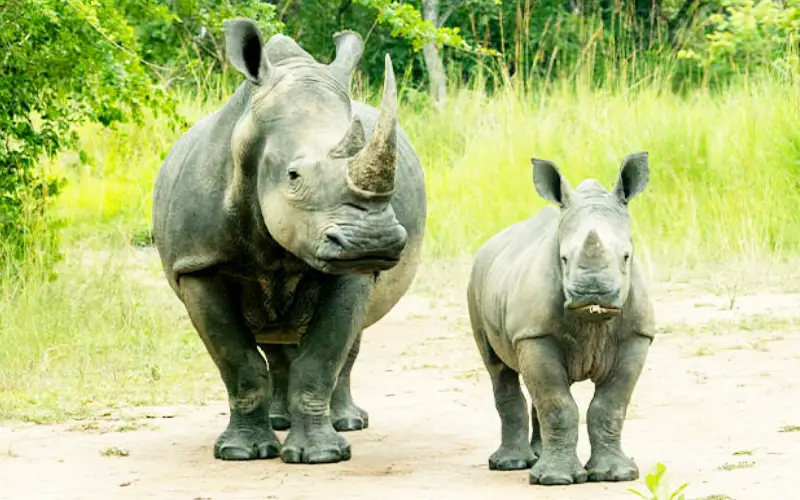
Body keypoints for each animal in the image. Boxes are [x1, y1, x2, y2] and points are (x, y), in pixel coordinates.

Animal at [151, 18, 426, 464]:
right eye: (293, 176)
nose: (372, 240)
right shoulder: (197, 265)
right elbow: (238, 362)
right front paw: (241, 452)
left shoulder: (352, 271)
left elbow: (322, 358)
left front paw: (322, 455)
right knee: (275, 340)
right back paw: (279, 422)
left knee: (343, 341)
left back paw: (347, 422)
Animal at [466, 153, 654, 485]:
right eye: (564, 259)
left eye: (627, 257)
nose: (593, 293)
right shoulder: (534, 333)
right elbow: (557, 403)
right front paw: (556, 479)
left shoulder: (637, 335)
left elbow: (610, 405)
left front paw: (616, 475)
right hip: (475, 280)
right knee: (498, 369)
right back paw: (511, 464)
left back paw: (536, 456)